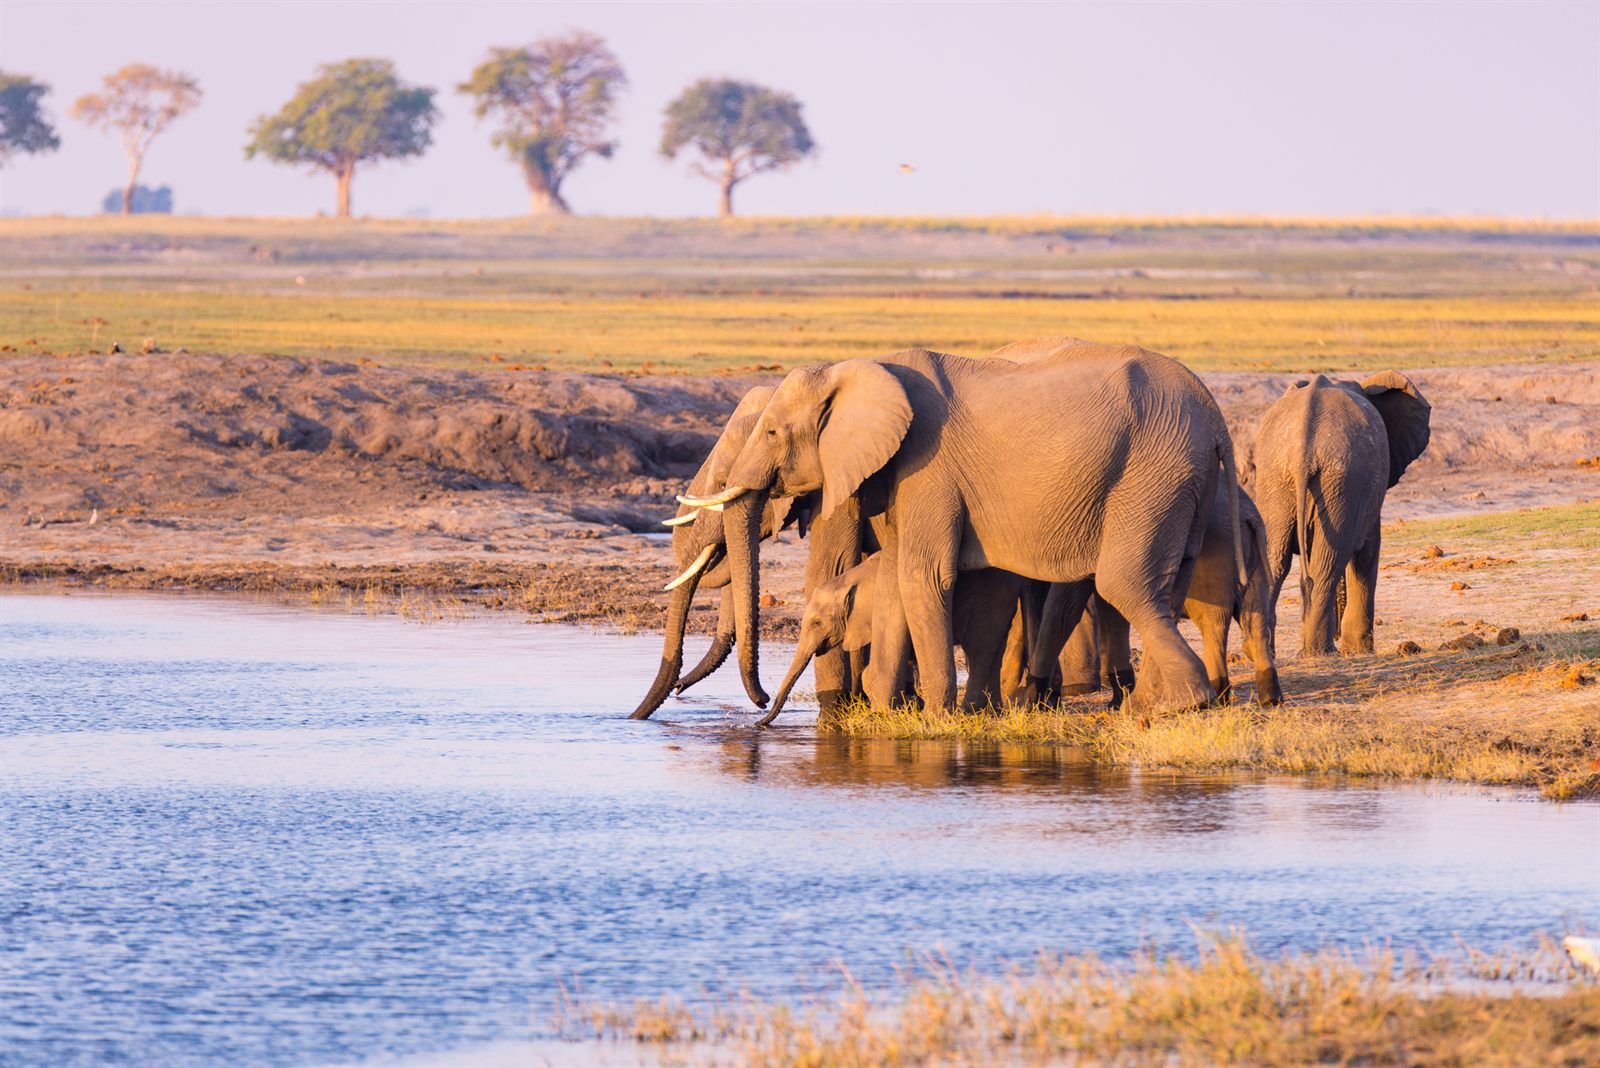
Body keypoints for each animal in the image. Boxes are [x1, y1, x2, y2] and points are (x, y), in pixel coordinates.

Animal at [761, 555, 1025, 725]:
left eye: (817, 623)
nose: (761, 716)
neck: (850, 578)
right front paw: (911, 704)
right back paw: (993, 712)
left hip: (991, 601)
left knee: (980, 649)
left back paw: (973, 712)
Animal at [1252, 371, 1431, 657]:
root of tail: (1303, 451)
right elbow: (1367, 551)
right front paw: (1359, 649)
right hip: (1342, 478)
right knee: (1328, 563)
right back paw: (1321, 652)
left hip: (1277, 480)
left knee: (1276, 559)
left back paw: (1270, 653)